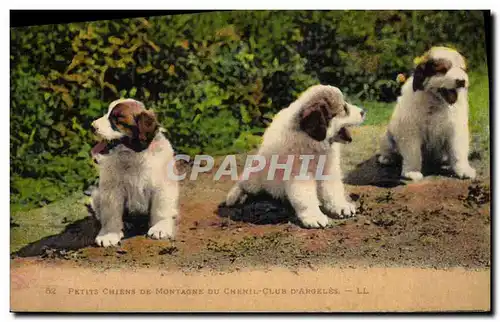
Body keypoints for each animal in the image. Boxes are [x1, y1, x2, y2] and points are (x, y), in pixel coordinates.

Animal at [90, 98, 180, 247]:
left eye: (117, 120)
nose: (92, 126)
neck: (132, 156)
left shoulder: (163, 186)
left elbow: (160, 208)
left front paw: (160, 227)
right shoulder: (112, 190)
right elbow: (111, 212)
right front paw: (109, 234)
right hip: (97, 195)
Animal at [225, 84, 366, 228]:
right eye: (344, 108)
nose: (363, 112)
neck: (313, 143)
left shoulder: (329, 169)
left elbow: (333, 190)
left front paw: (341, 206)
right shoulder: (299, 175)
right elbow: (306, 198)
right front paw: (314, 216)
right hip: (256, 179)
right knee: (243, 182)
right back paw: (233, 196)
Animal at [378, 46, 476, 181]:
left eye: (462, 69)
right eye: (443, 70)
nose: (461, 81)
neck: (436, 101)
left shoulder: (456, 128)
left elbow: (458, 151)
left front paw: (464, 170)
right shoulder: (410, 130)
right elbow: (413, 152)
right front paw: (412, 171)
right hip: (387, 136)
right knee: (387, 148)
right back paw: (386, 158)